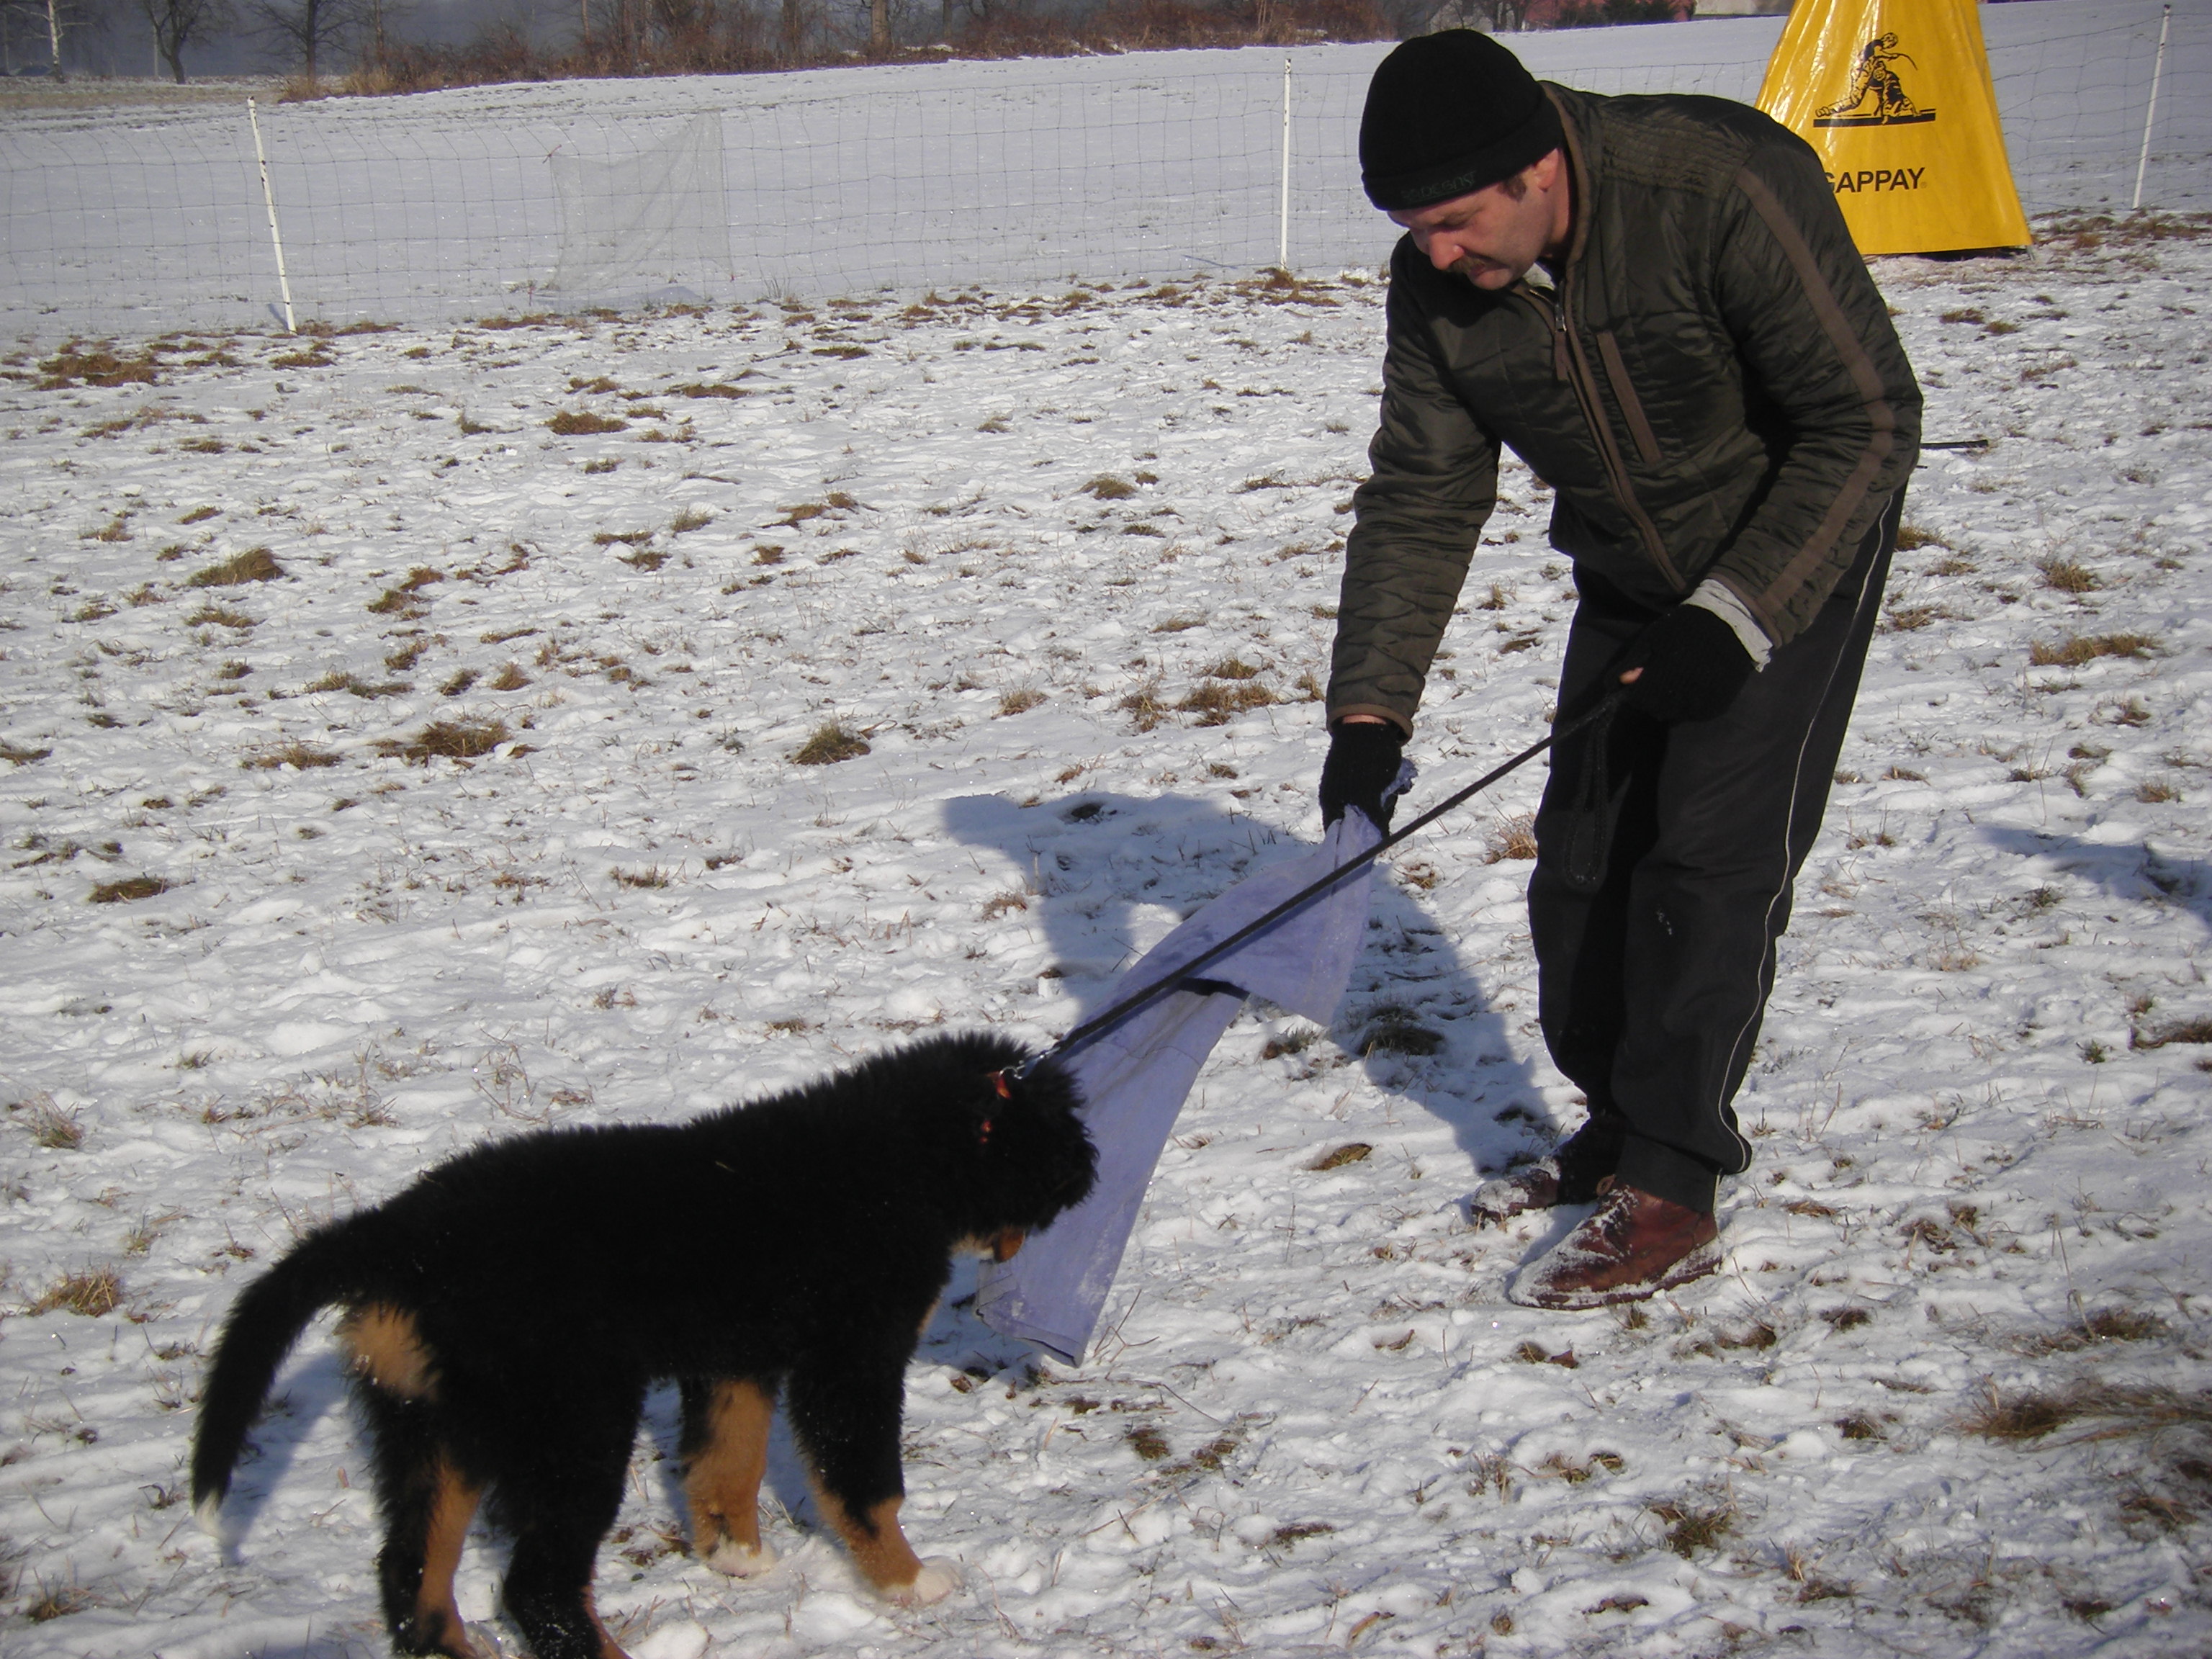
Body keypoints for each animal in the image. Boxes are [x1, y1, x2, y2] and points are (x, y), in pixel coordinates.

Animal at [192, 1035, 1097, 1654]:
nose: (1087, 1180)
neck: (902, 1158)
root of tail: (398, 1236)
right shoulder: (852, 1360)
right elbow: (867, 1488)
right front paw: (911, 1582)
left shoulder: (733, 1360)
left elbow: (725, 1461)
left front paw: (737, 1559)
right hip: (574, 1424)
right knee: (538, 1588)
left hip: (433, 1424)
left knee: (412, 1573)